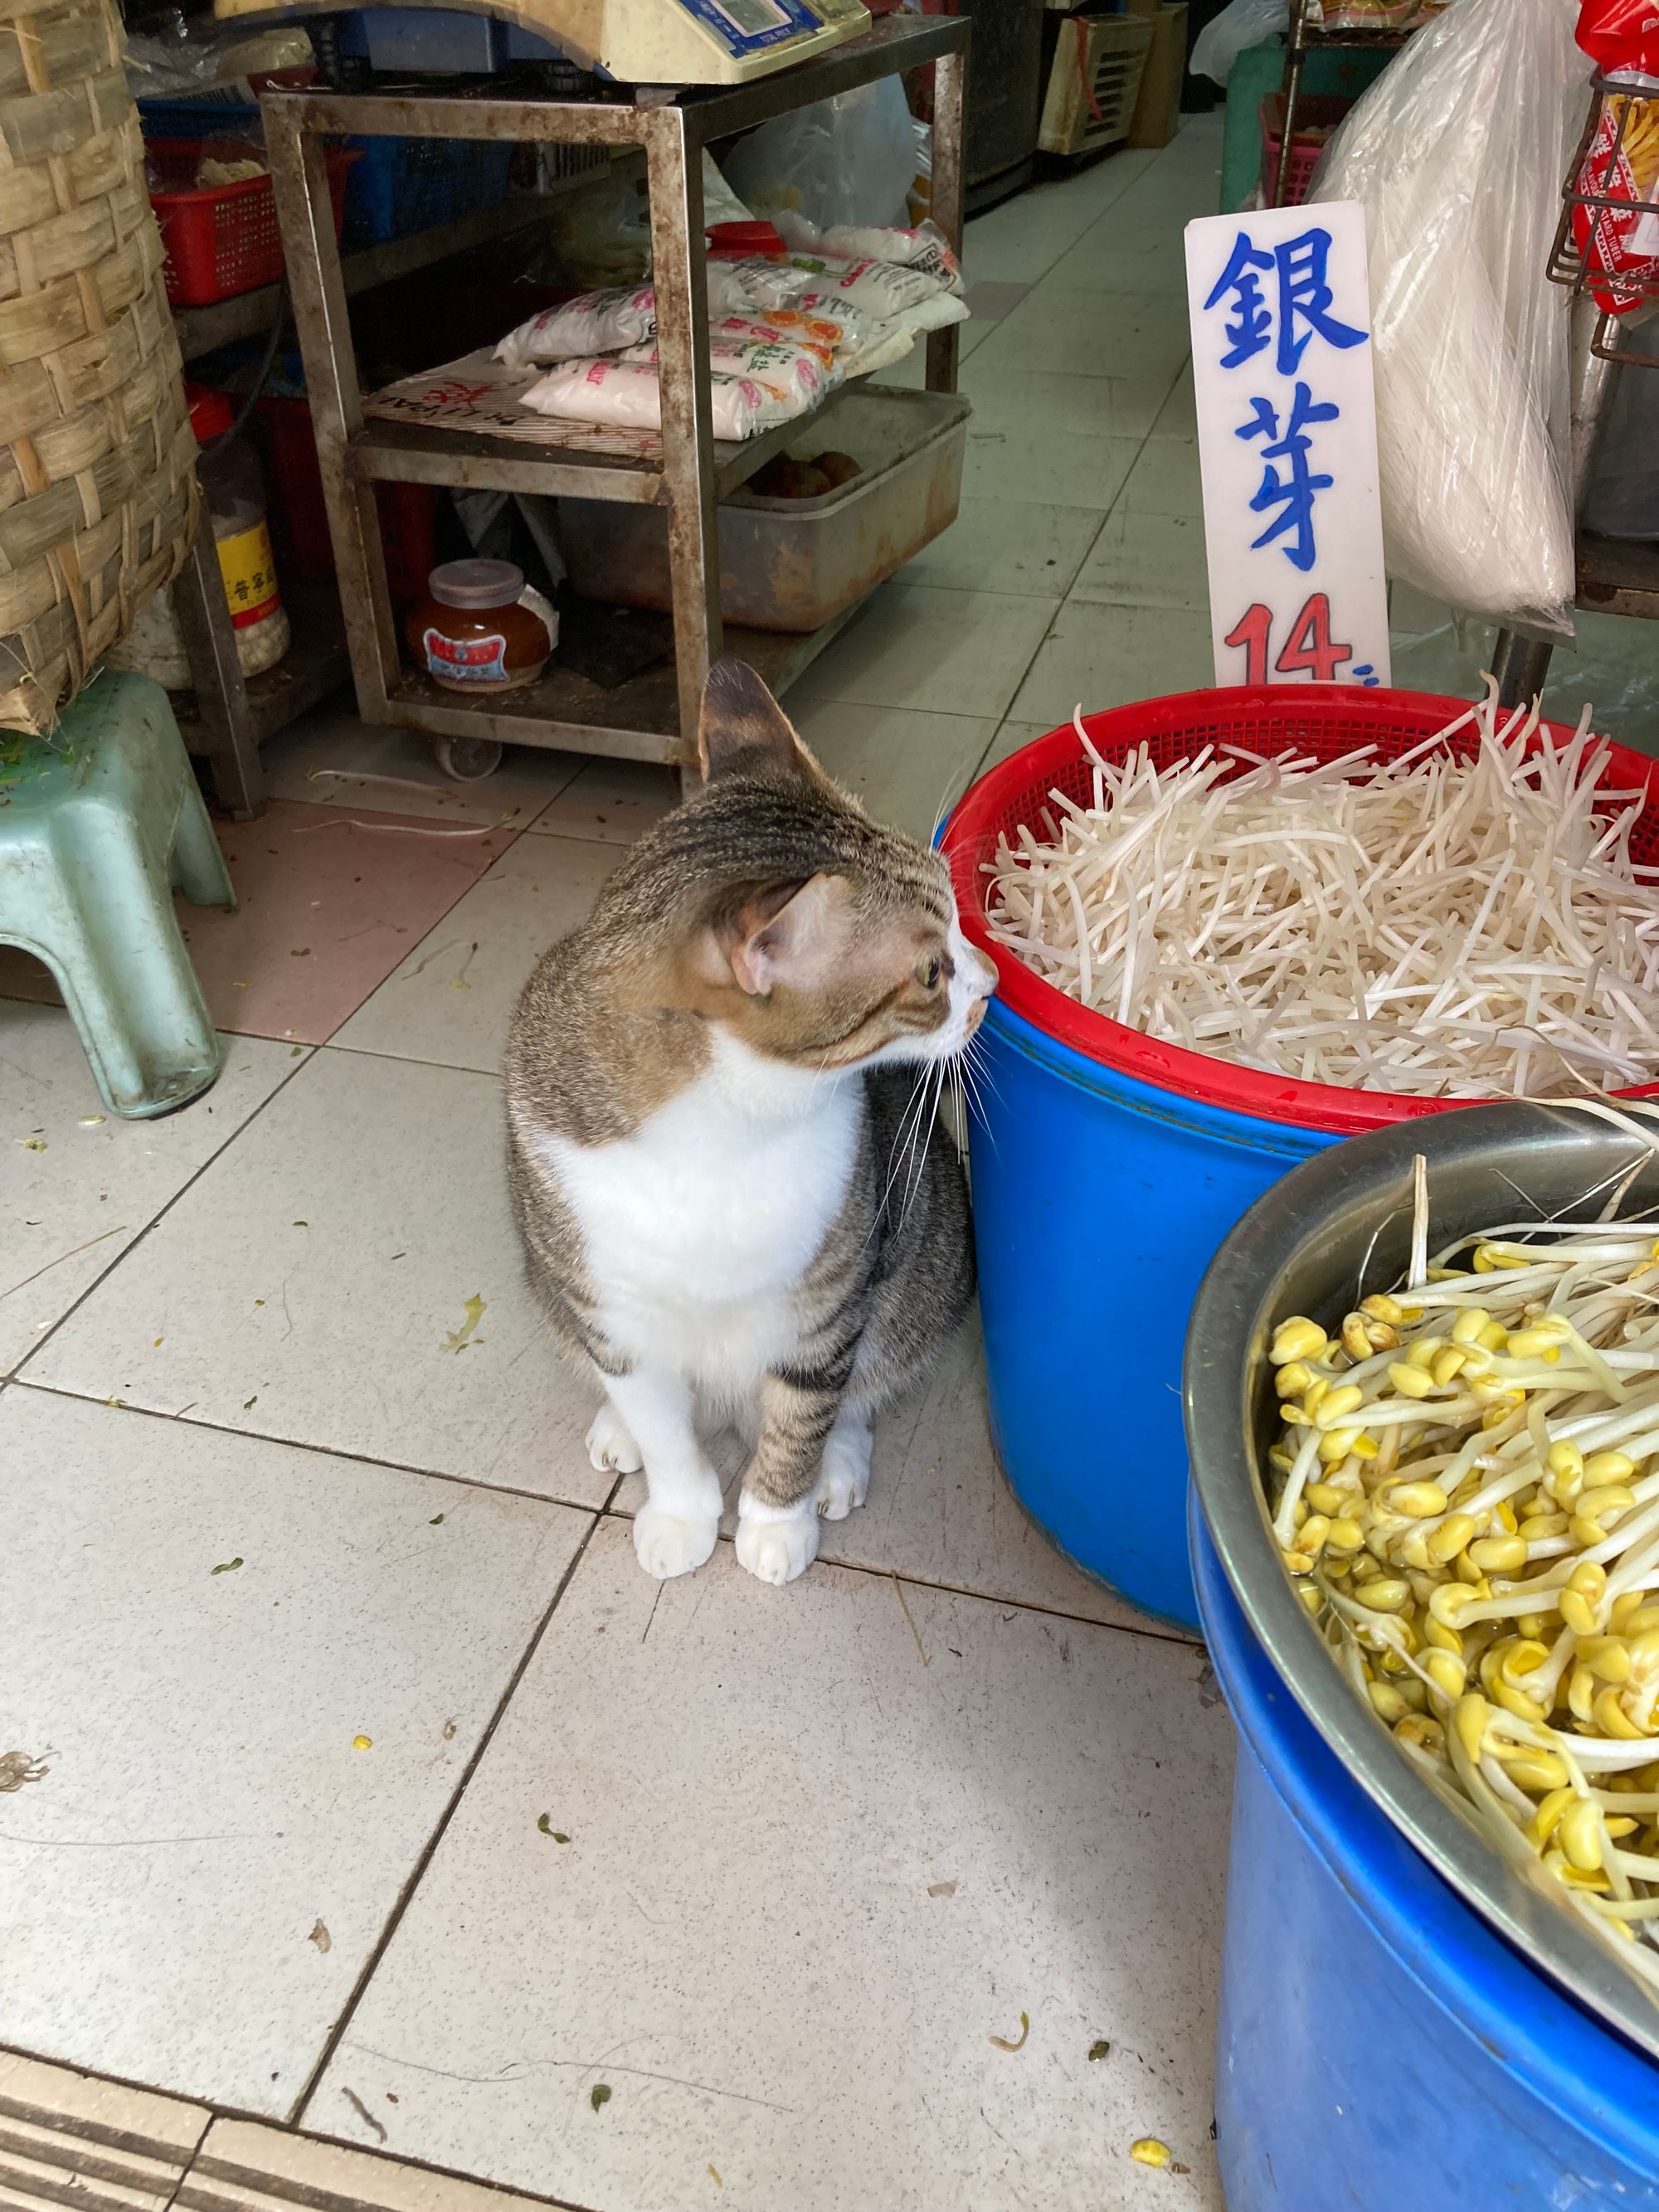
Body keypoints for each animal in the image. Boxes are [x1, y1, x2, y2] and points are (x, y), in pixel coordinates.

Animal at [506, 659, 995, 1592]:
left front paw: (775, 1520)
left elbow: (803, 1413)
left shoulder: (827, 1303)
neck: (723, 1130)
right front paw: (680, 1513)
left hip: (923, 1255)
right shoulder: (613, 1309)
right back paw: (619, 1430)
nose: (992, 981)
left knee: (869, 1374)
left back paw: (839, 1461)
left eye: (960, 920)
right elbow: (663, 1425)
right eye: (929, 972)